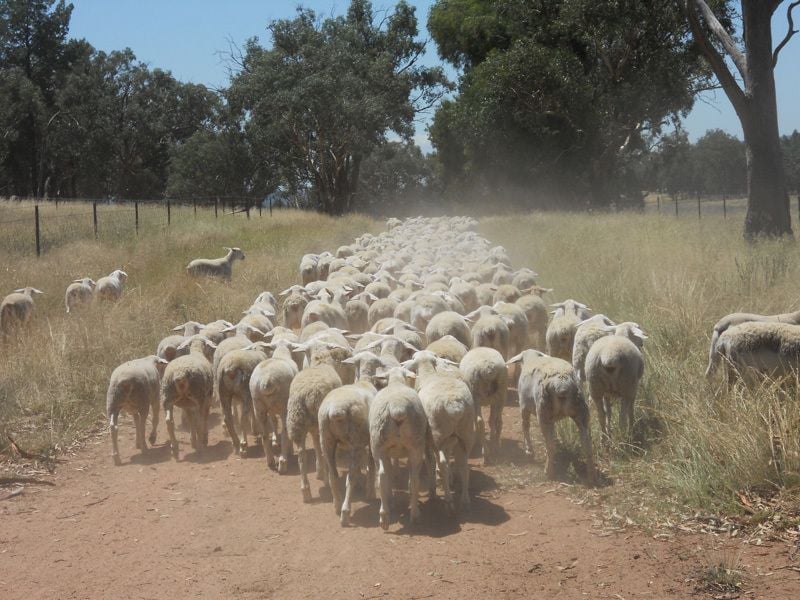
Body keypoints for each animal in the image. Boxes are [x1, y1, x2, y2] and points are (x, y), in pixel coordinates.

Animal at [249, 340, 300, 473]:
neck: (281, 354)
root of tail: (267, 380)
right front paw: (289, 449)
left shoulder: (270, 409)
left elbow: (273, 421)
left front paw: (275, 441)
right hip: (284, 405)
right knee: (285, 431)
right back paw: (283, 461)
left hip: (258, 405)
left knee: (264, 435)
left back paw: (270, 460)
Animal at [369, 367, 431, 529]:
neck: (396, 381)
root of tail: (397, 408)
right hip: (415, 445)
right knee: (413, 478)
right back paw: (412, 514)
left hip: (378, 446)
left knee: (383, 475)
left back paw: (386, 516)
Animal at [405, 351, 475, 512]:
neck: (429, 375)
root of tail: (455, 406)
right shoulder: (451, 439)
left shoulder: (427, 441)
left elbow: (430, 463)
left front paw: (432, 491)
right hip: (466, 434)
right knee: (464, 465)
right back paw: (465, 499)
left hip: (438, 435)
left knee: (442, 463)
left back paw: (448, 500)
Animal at [507, 349, 594, 483]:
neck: (531, 357)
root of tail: (563, 384)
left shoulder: (523, 408)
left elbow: (525, 426)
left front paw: (529, 450)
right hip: (581, 412)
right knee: (587, 444)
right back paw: (592, 476)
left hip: (543, 412)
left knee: (550, 445)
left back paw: (549, 472)